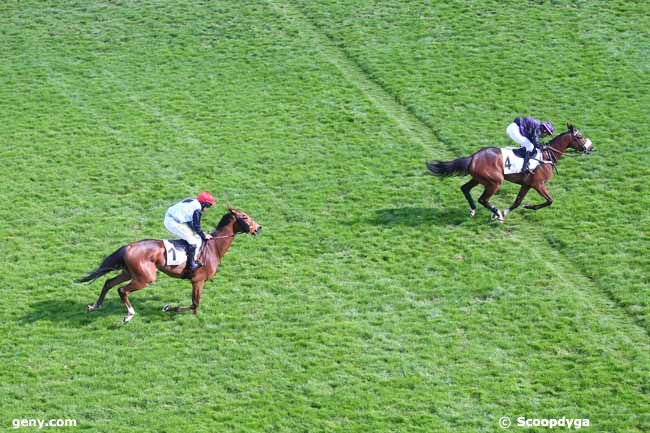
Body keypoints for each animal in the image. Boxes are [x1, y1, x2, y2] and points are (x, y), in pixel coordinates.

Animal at [80, 208, 260, 322]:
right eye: (244, 216)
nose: (258, 228)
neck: (213, 247)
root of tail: (128, 247)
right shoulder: (198, 280)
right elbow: (195, 304)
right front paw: (169, 308)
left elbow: (195, 305)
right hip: (146, 277)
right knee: (122, 290)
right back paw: (129, 315)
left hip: (129, 272)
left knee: (108, 282)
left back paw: (94, 306)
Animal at [426, 123, 592, 221]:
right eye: (580, 136)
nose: (590, 148)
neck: (546, 157)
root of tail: (473, 157)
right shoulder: (538, 184)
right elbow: (549, 200)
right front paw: (524, 208)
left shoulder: (527, 184)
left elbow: (517, 202)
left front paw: (509, 211)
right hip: (495, 182)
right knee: (483, 199)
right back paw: (496, 213)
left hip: (479, 179)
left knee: (465, 188)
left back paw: (474, 210)